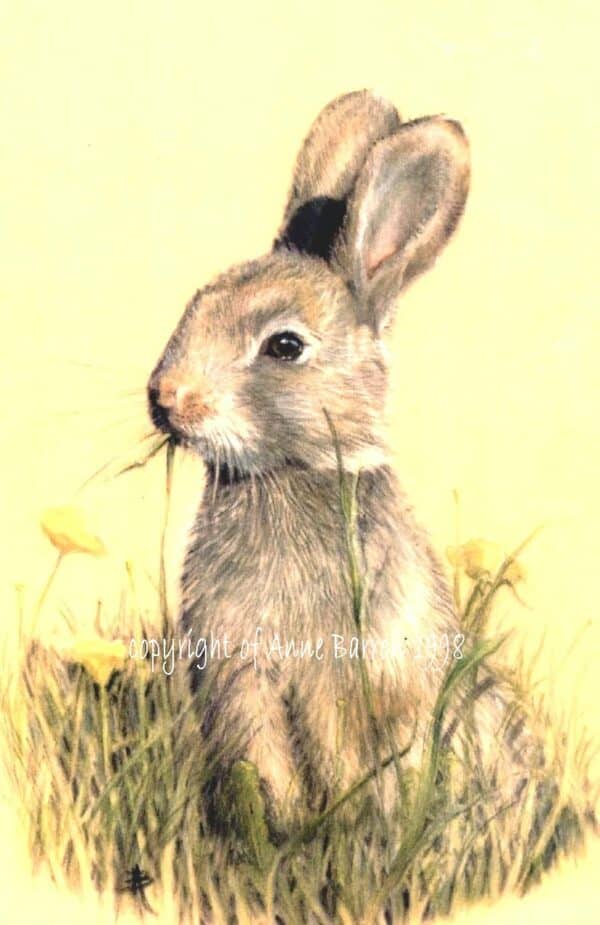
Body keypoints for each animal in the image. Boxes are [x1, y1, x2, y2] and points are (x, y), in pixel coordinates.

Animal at [147, 90, 525, 830]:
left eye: (285, 345)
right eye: (194, 306)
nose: (165, 398)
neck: (286, 475)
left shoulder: (337, 678)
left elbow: (337, 754)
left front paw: (334, 827)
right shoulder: (241, 674)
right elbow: (262, 759)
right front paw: (283, 824)